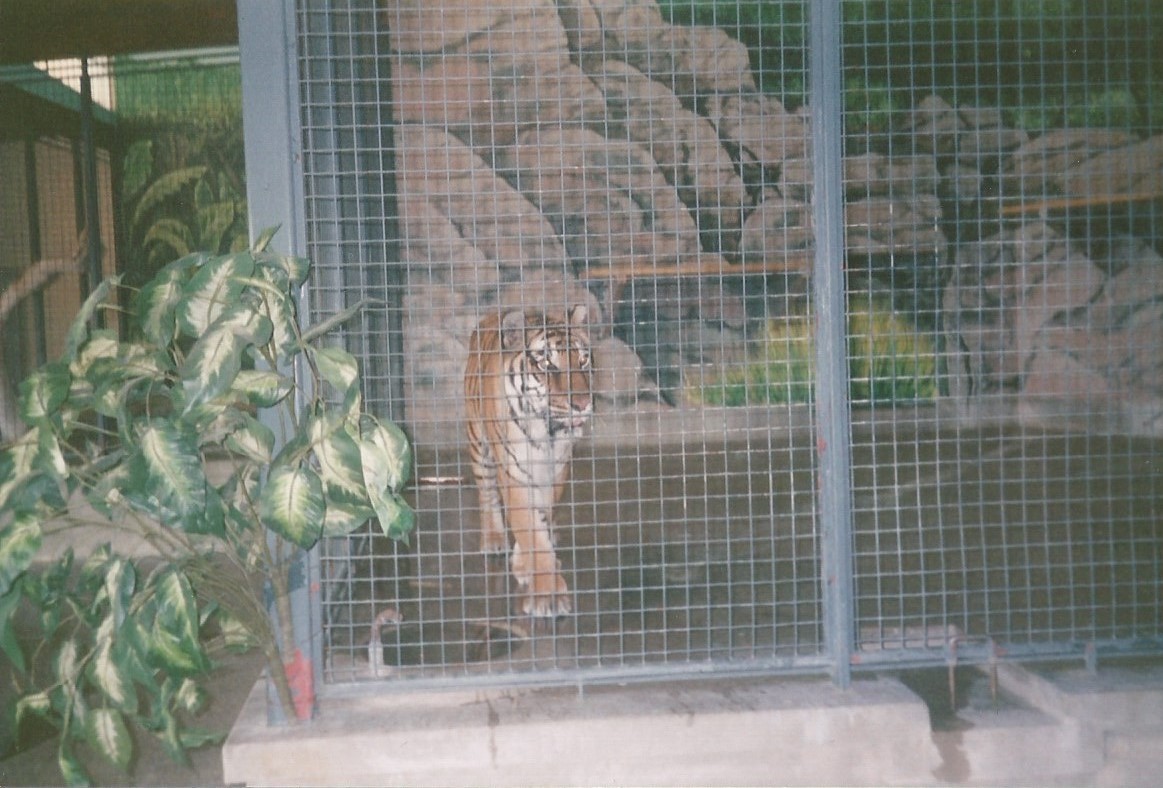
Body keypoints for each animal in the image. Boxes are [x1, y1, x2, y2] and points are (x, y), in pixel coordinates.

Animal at [464, 305, 593, 618]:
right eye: (547, 365)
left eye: (583, 360)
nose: (583, 404)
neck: (546, 431)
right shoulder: (514, 473)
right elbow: (530, 528)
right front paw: (547, 595)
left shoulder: (556, 470)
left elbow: (541, 517)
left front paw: (526, 564)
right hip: (479, 445)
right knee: (487, 494)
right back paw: (493, 540)